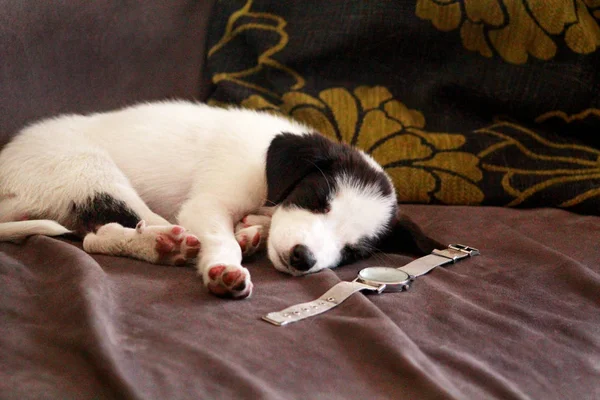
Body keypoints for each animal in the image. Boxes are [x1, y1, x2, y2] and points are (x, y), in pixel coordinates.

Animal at [1, 101, 404, 298]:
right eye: (317, 200)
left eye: (352, 252)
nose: (302, 259)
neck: (266, 166)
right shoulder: (207, 203)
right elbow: (219, 237)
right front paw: (225, 267)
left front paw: (253, 230)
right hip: (88, 167)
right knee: (98, 236)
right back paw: (161, 245)